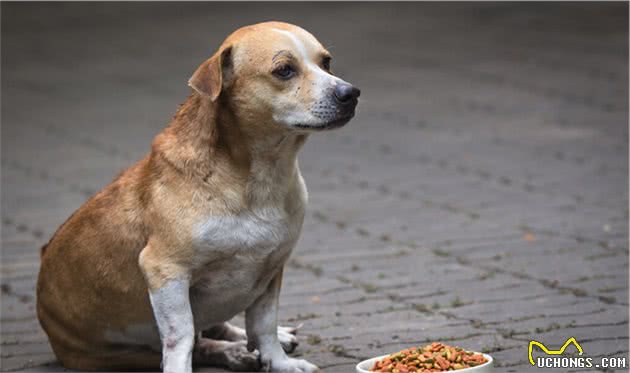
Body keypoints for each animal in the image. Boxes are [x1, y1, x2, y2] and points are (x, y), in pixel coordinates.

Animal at [35, 21, 360, 370]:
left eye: (326, 62)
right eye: (284, 70)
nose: (350, 93)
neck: (260, 177)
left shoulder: (271, 269)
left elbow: (264, 325)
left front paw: (280, 362)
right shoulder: (165, 271)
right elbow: (182, 338)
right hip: (118, 353)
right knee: (199, 342)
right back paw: (231, 351)